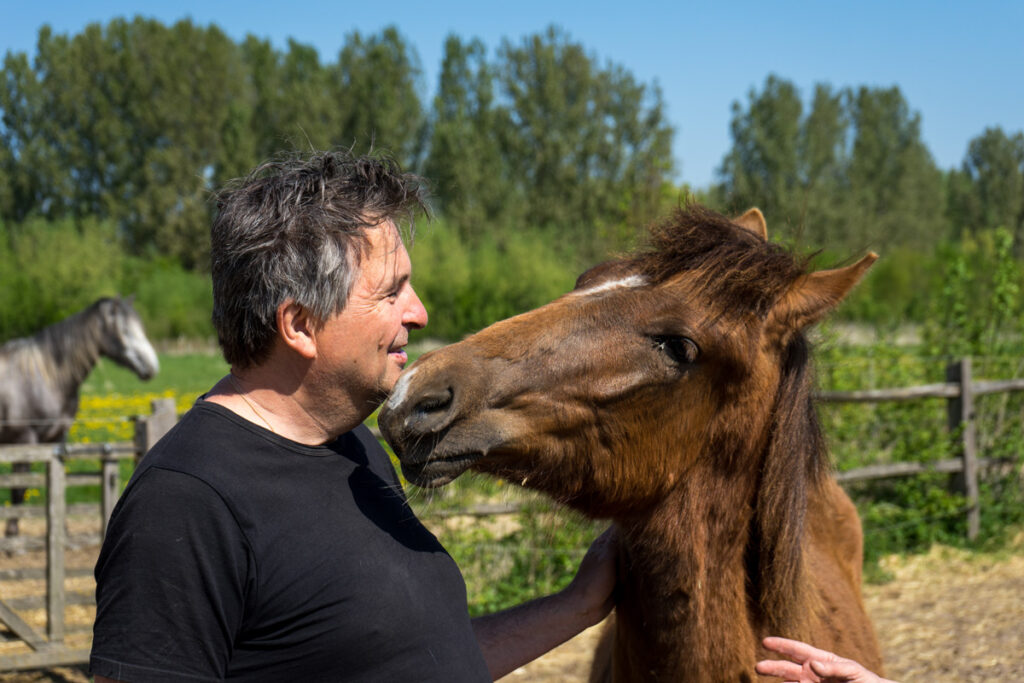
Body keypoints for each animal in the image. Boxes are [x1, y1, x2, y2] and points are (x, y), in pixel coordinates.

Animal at [0, 299, 159, 540]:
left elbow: (59, 484)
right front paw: (12, 533)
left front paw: (62, 531)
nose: (152, 366)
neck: (44, 377)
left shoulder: (57, 441)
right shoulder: (23, 441)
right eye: (124, 331)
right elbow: (19, 489)